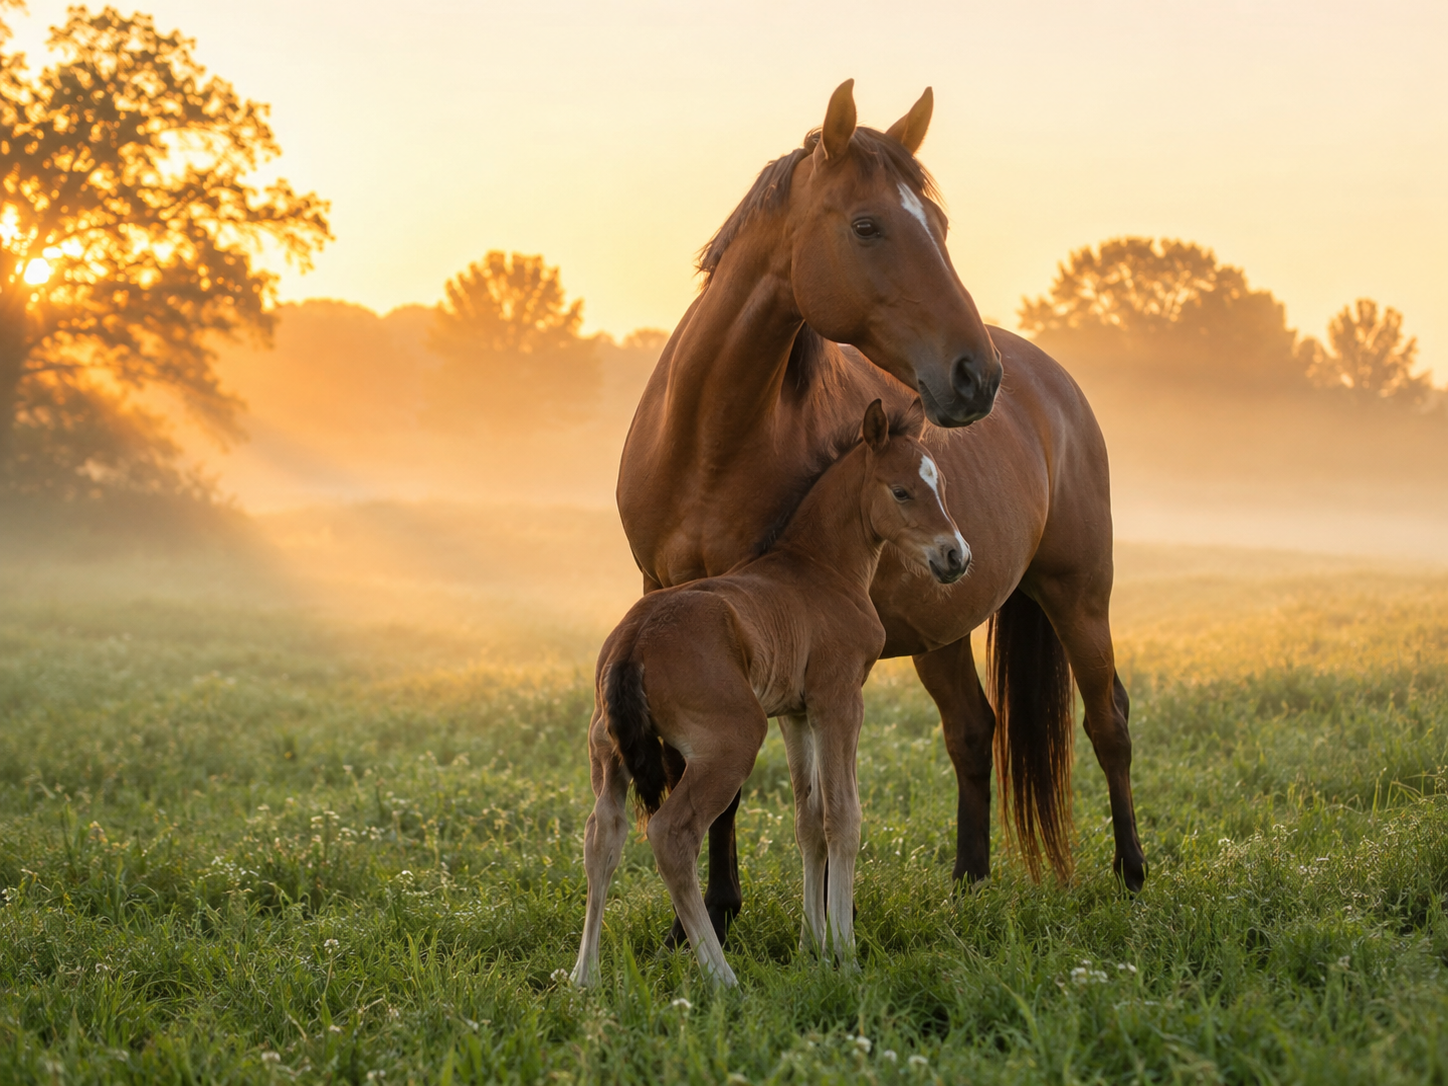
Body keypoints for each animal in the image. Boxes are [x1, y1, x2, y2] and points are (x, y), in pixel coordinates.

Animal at [572, 399, 968, 987]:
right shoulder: (839, 702)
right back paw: (722, 976)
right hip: (732, 742)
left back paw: (585, 977)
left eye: (938, 483)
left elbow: (808, 821)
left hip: (608, 750)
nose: (955, 556)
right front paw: (846, 954)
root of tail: (635, 641)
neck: (820, 569)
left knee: (603, 835)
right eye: (901, 491)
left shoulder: (795, 714)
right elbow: (843, 818)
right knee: (671, 835)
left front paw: (812, 949)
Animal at [616, 81, 1147, 945]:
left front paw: (731, 913)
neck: (707, 440)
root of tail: (1051, 382)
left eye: (939, 226)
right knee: (973, 729)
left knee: (1109, 722)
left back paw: (1131, 874)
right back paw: (969, 881)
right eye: (867, 226)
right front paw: (702, 921)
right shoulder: (672, 600)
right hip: (945, 622)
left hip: (1078, 594)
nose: (974, 376)